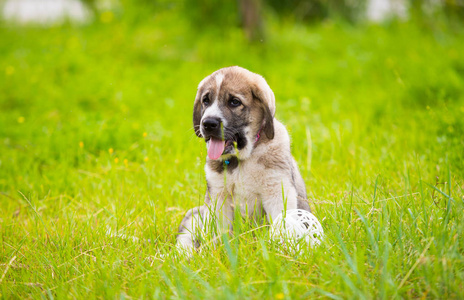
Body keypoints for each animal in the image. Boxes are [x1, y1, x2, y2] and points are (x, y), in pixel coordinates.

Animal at [178, 66, 312, 251]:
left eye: (234, 102)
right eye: (206, 101)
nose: (208, 123)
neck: (241, 159)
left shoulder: (278, 191)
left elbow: (281, 224)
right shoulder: (218, 196)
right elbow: (220, 232)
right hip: (195, 216)